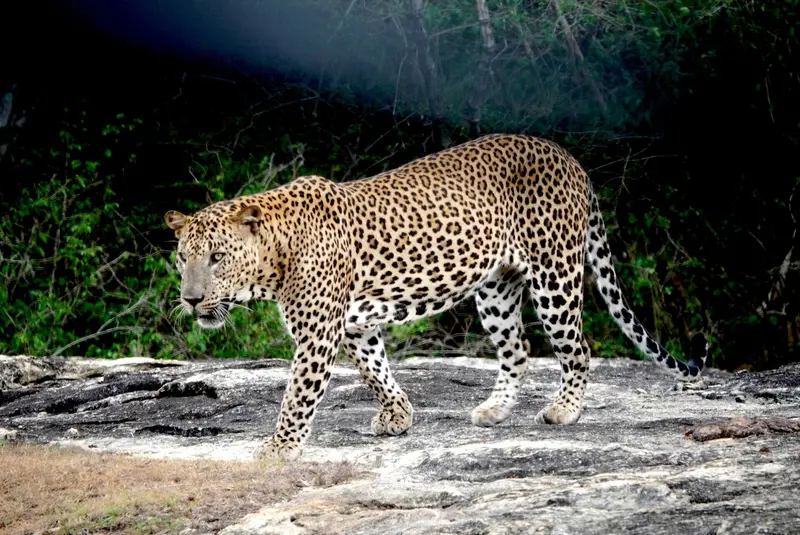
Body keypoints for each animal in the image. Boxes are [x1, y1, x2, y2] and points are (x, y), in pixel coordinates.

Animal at [164, 133, 709, 462]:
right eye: (182, 258)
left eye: (216, 257)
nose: (190, 301)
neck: (275, 256)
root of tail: (567, 155)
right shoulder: (356, 324)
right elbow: (376, 371)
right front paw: (398, 415)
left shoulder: (318, 333)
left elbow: (298, 396)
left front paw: (279, 447)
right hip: (495, 290)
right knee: (519, 350)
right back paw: (494, 410)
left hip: (554, 275)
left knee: (578, 348)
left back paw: (565, 409)